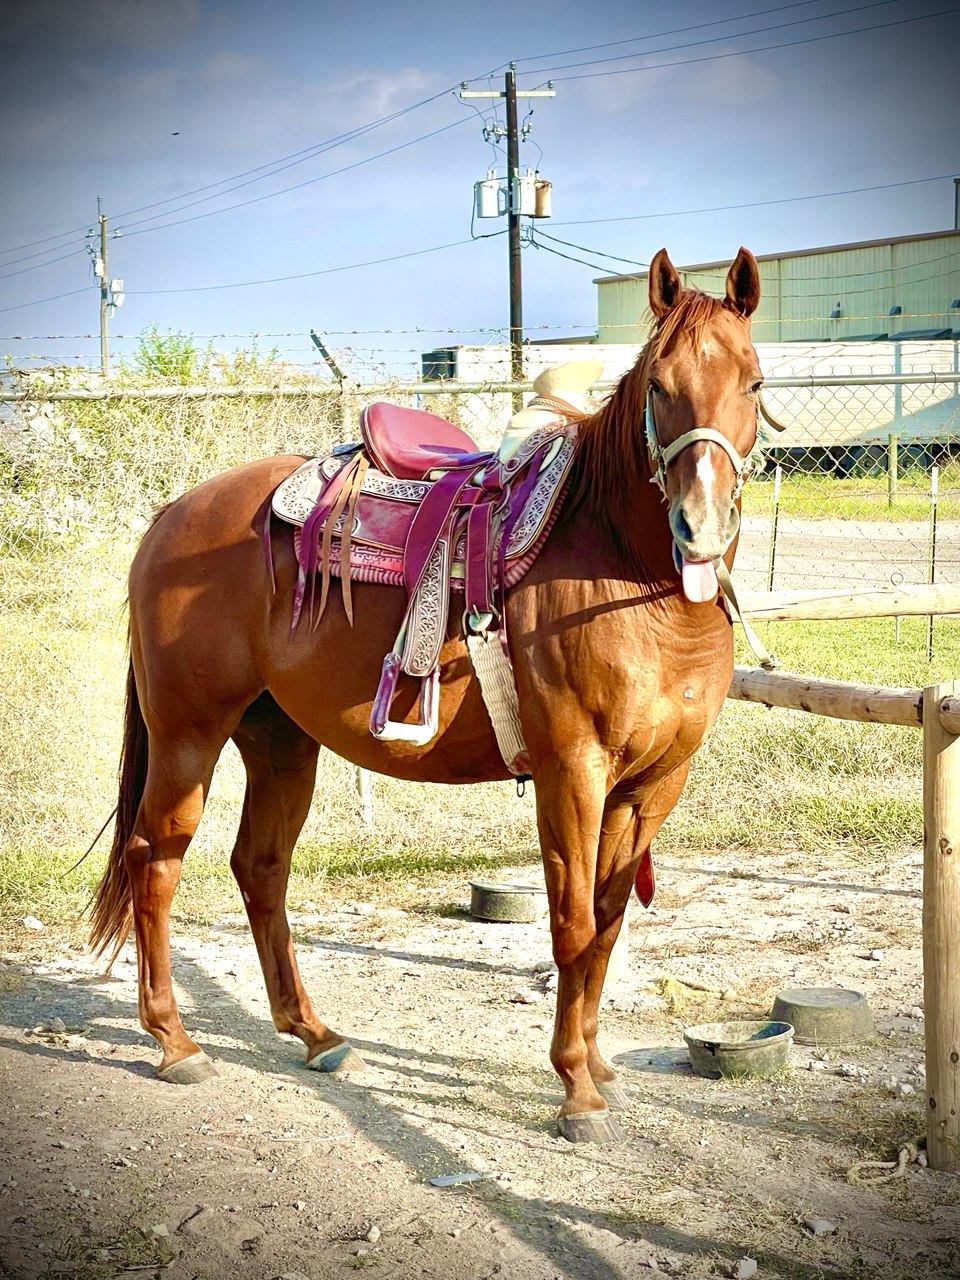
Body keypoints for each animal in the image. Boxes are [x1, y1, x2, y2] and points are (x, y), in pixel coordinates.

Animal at [90, 247, 766, 1144]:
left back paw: (314, 1034)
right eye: (658, 385)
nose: (700, 526)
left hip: (279, 740)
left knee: (260, 867)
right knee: (153, 862)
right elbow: (573, 921)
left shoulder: (655, 783)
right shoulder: (571, 770)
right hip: (187, 736)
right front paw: (575, 1088)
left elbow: (610, 922)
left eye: (754, 382)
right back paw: (173, 1040)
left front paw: (601, 1067)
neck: (628, 571)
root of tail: (173, 513)